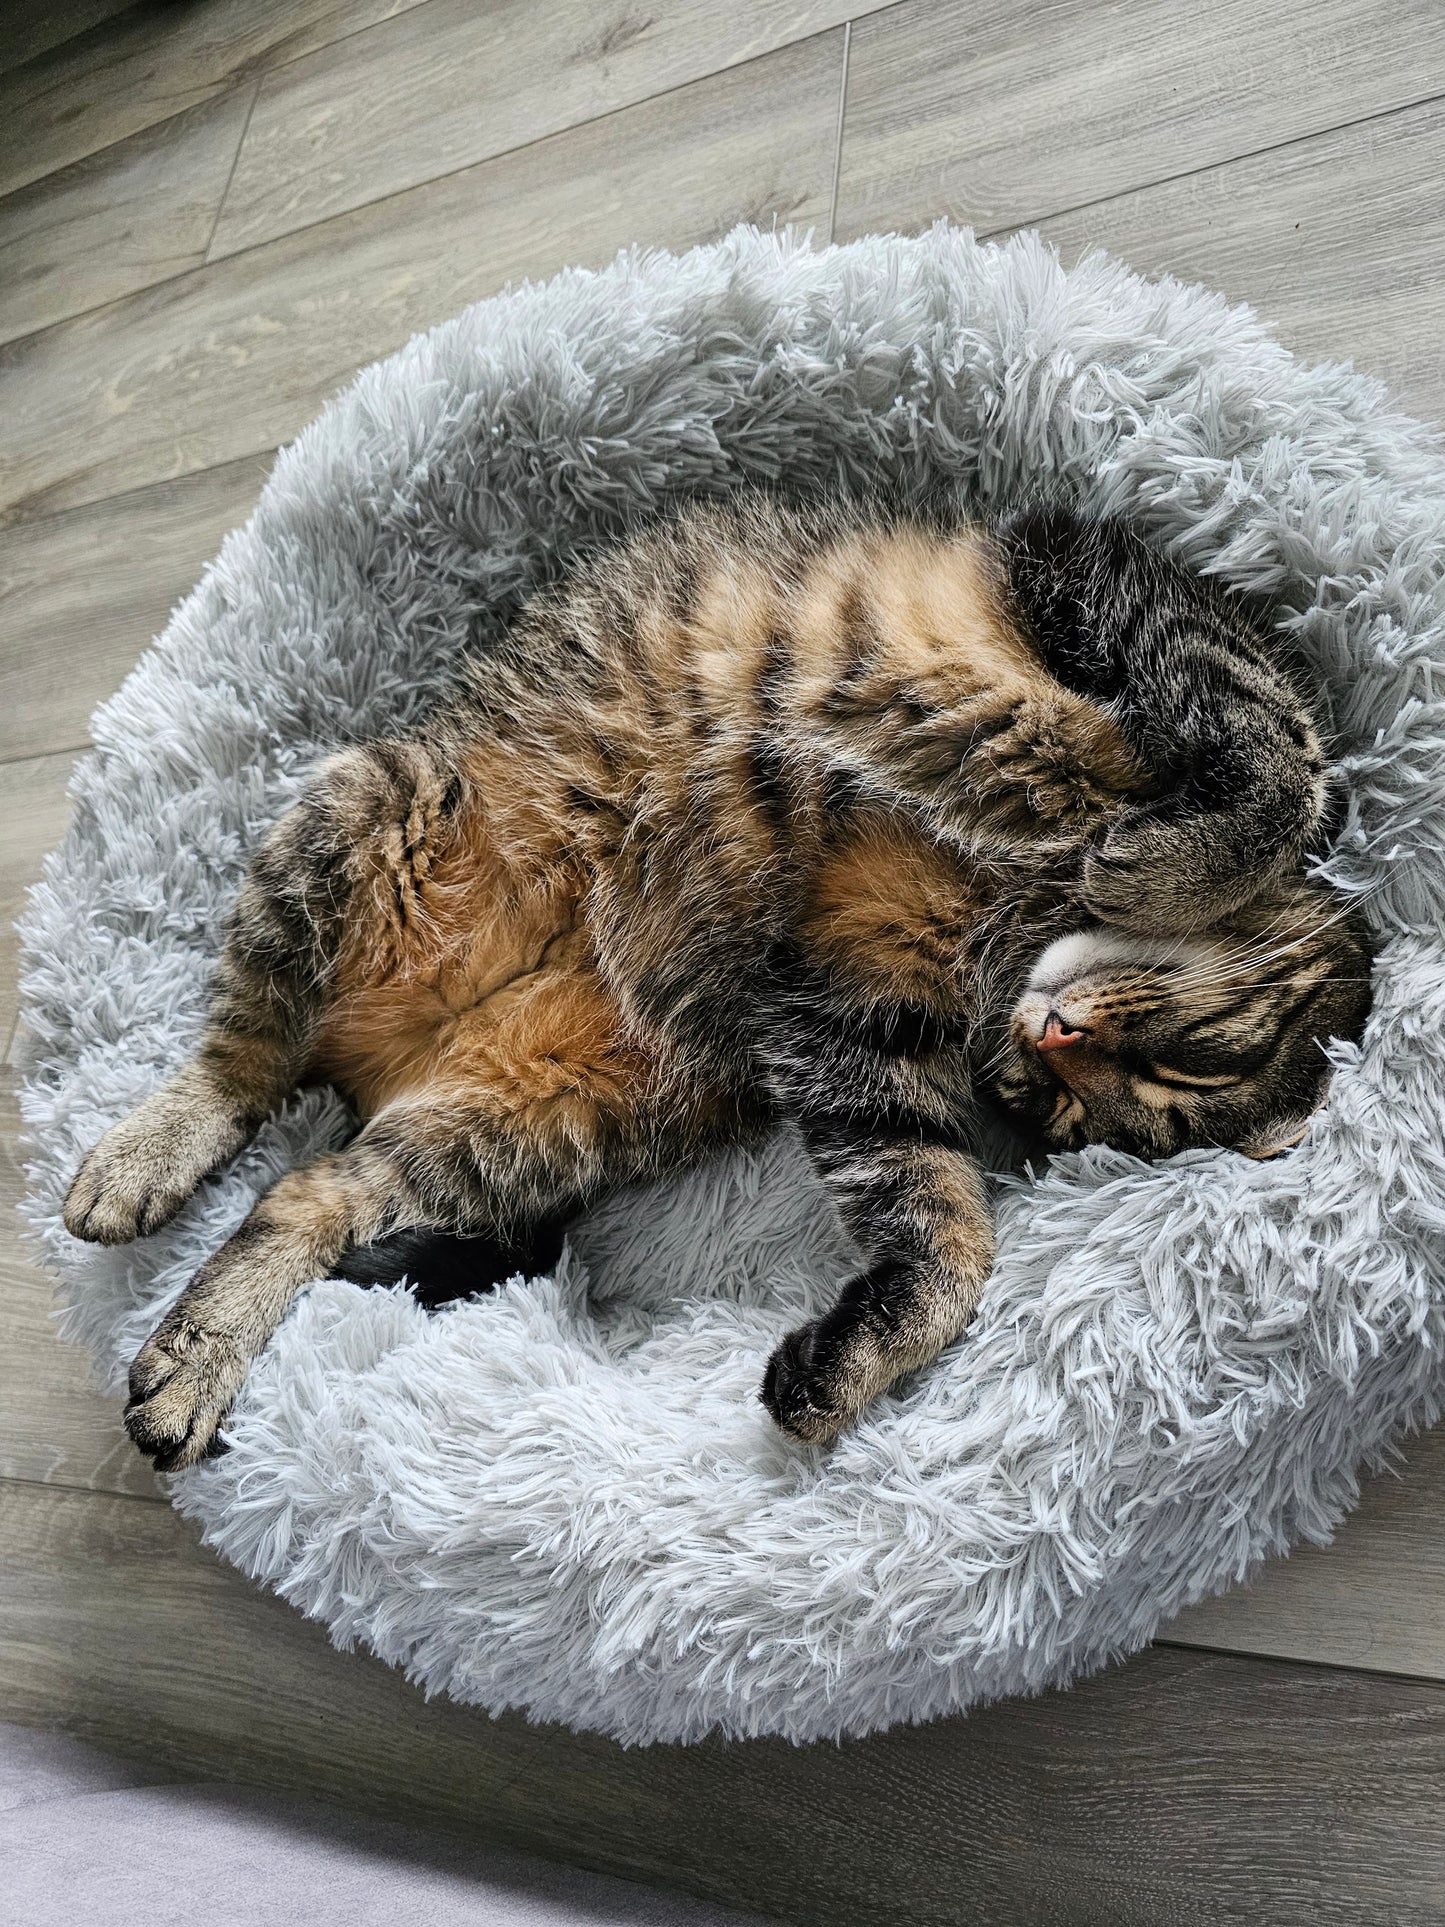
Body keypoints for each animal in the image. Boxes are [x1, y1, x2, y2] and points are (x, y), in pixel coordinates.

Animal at [65, 493, 1379, 1456]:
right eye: (1191, 1061)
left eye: (1064, 1114)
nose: (1046, 1049)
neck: (1017, 919)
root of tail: (379, 1058)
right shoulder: (1104, 579)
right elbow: (1275, 758)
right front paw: (1158, 863)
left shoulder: (841, 1006)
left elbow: (943, 1227)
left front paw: (853, 1360)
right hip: (370, 799)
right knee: (244, 1058)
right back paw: (141, 1160)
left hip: (536, 1122)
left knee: (307, 1193)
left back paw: (198, 1358)